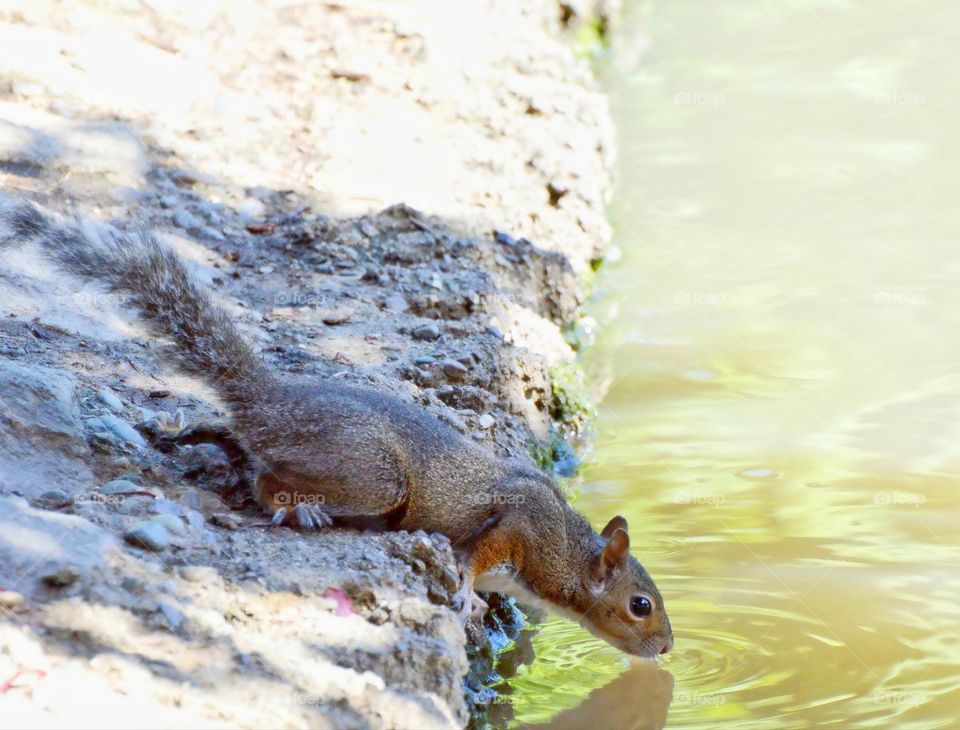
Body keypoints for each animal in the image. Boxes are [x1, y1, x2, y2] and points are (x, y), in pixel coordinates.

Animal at [0, 198, 673, 658]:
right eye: (640, 605)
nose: (666, 648)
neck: (565, 546)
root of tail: (271, 399)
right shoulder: (518, 527)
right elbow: (476, 556)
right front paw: (463, 594)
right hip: (373, 478)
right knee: (266, 480)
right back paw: (299, 510)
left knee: (243, 448)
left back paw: (207, 437)